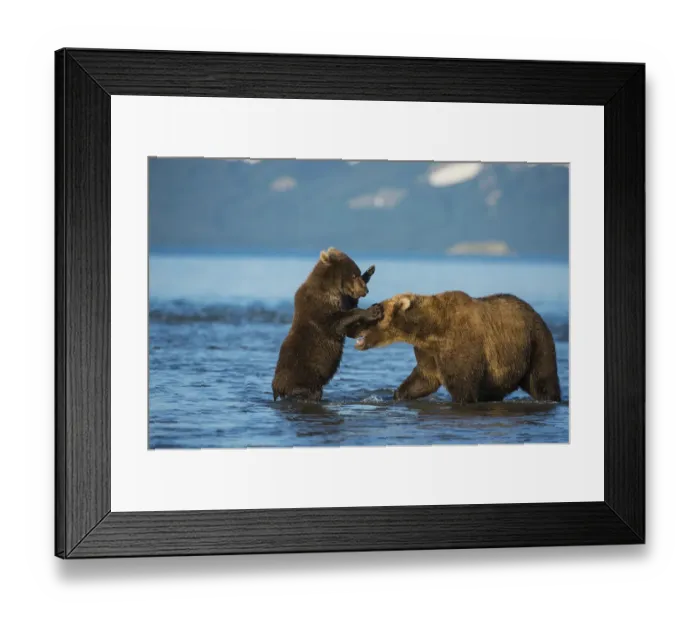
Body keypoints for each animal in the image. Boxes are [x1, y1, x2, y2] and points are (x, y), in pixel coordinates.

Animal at [272, 248, 382, 402]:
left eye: (358, 273)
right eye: (353, 275)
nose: (365, 291)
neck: (332, 290)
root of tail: (276, 389)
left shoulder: (342, 300)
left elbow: (350, 324)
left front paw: (370, 271)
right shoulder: (318, 307)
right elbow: (337, 322)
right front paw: (373, 310)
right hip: (299, 377)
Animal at [354, 291, 561, 404]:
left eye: (376, 310)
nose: (355, 325)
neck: (429, 328)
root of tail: (535, 312)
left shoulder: (460, 344)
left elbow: (462, 385)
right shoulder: (429, 352)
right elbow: (424, 379)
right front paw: (398, 394)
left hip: (535, 344)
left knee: (542, 379)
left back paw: (550, 397)